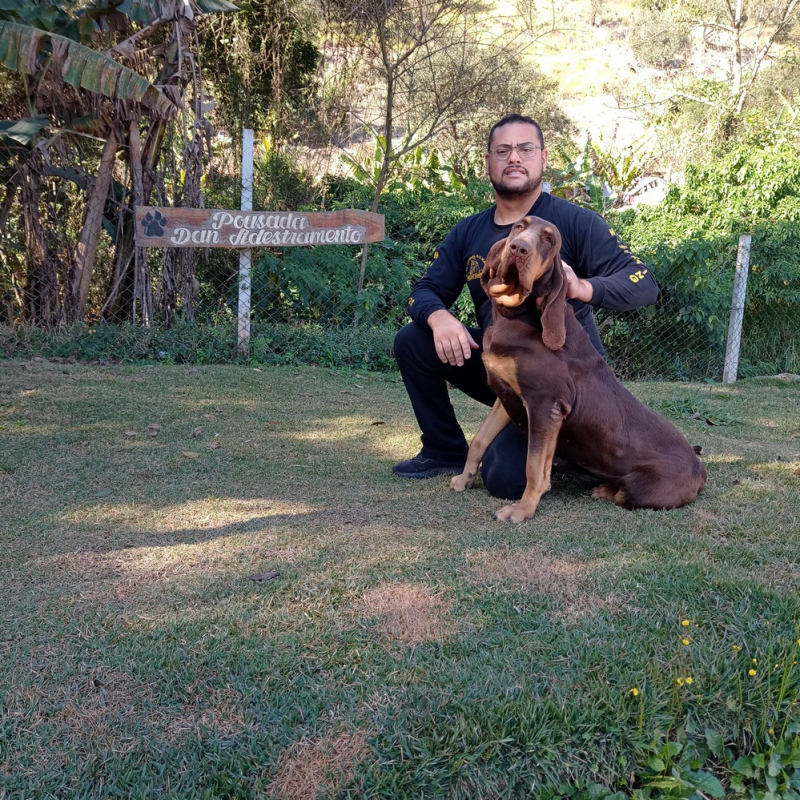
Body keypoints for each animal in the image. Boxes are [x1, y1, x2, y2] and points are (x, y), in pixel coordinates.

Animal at [450, 216, 708, 520]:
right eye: (518, 227)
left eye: (549, 240)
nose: (518, 249)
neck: (516, 315)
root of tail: (700, 469)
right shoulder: (507, 394)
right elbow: (479, 440)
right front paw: (464, 479)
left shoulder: (546, 406)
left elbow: (534, 468)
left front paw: (522, 510)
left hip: (642, 488)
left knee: (625, 492)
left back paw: (606, 489)